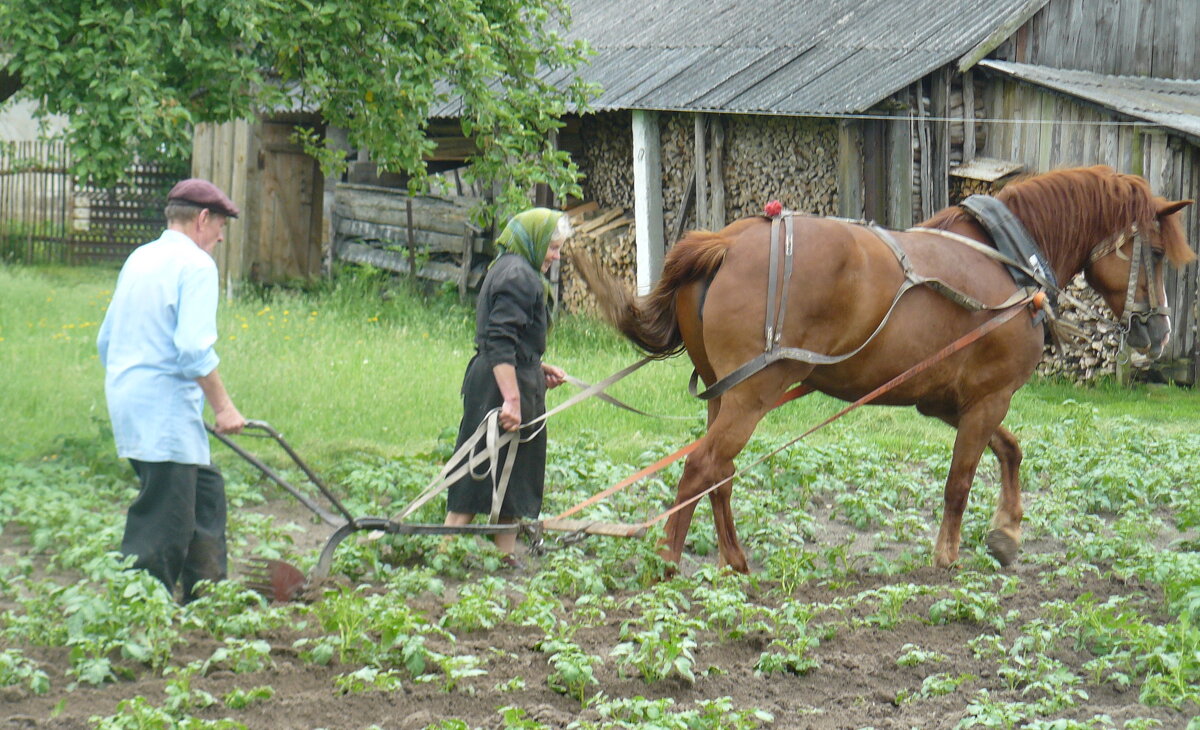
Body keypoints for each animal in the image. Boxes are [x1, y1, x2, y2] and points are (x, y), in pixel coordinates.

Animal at [578, 165, 1190, 571]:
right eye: (1157, 254)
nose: (1160, 333)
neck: (1011, 265)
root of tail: (724, 243)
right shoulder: (990, 396)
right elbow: (959, 481)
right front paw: (947, 560)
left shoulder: (950, 400)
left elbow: (1010, 450)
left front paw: (1007, 534)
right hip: (751, 394)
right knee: (700, 468)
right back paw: (667, 565)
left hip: (725, 394)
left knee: (717, 473)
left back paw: (737, 565)